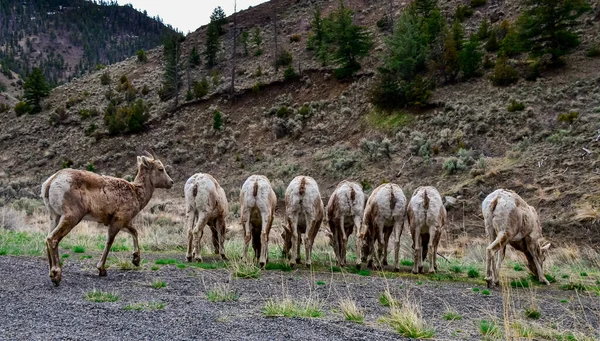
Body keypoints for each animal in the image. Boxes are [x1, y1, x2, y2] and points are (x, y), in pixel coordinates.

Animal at [40, 151, 173, 284]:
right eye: (160, 169)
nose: (171, 182)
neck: (136, 193)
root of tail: (51, 182)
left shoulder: (122, 222)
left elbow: (134, 232)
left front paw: (136, 260)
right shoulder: (118, 220)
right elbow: (109, 241)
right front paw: (102, 270)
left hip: (54, 216)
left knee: (47, 238)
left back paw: (51, 274)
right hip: (71, 216)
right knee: (53, 238)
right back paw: (57, 275)